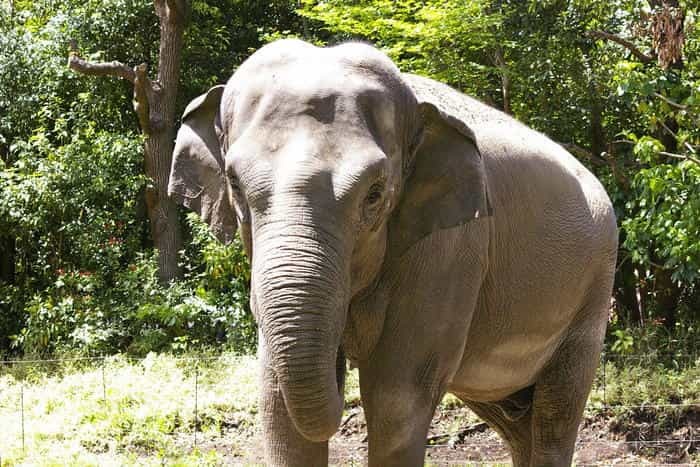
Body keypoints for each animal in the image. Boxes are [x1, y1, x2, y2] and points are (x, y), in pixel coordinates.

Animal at [170, 38, 616, 466]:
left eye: (375, 193)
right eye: (235, 185)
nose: (341, 360)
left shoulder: (452, 249)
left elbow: (396, 398)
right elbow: (278, 404)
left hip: (593, 292)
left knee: (554, 415)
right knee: (514, 419)